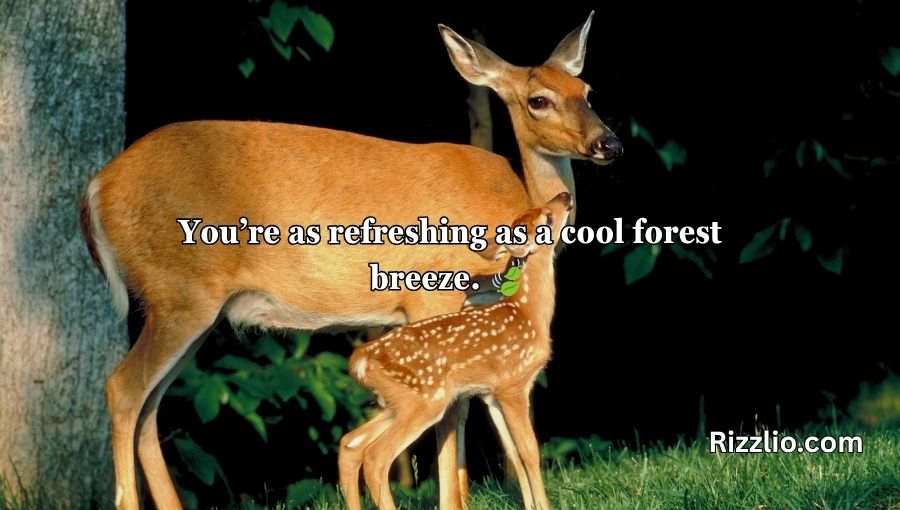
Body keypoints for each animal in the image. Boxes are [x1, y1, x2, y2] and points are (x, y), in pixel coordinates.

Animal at [339, 192, 572, 510]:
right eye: (546, 217)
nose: (565, 195)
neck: (528, 313)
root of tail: (360, 358)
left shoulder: (491, 393)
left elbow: (513, 454)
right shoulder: (513, 384)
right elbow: (530, 451)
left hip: (395, 403)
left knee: (350, 444)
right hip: (426, 401)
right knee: (375, 456)